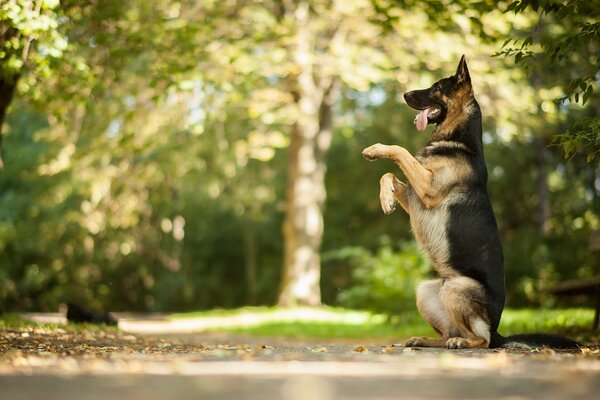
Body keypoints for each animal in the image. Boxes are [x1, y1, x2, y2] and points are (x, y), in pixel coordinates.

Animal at [364, 56, 580, 350]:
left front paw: (375, 149)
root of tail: (498, 331)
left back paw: (463, 342)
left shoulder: (428, 189)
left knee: (481, 340)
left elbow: (400, 151)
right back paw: (426, 339)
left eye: (436, 87)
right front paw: (386, 199)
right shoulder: (416, 196)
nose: (405, 94)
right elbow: (388, 174)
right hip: (428, 290)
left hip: (458, 288)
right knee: (447, 333)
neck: (458, 139)